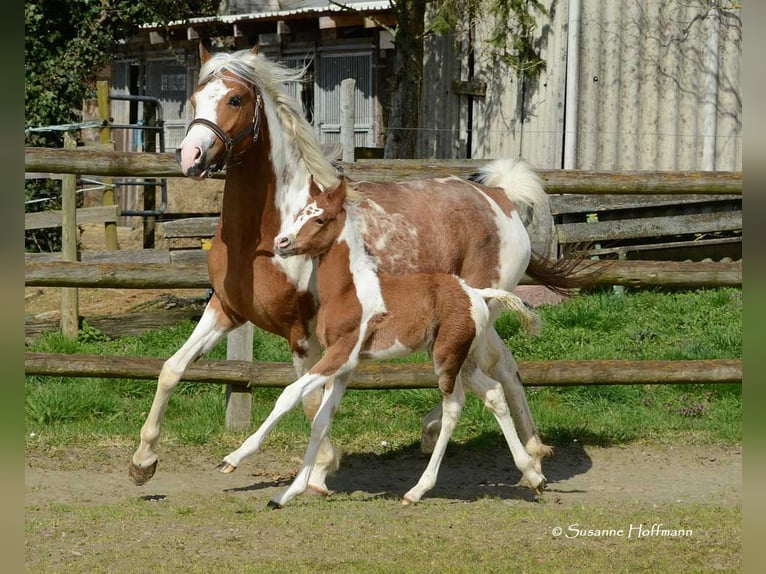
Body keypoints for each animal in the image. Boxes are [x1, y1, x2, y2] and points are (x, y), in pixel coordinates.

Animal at [219, 180, 548, 508]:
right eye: (300, 213)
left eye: (320, 219)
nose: (282, 242)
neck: (347, 289)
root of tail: (477, 293)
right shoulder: (346, 367)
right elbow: (321, 420)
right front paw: (289, 492)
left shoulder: (341, 353)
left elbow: (289, 394)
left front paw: (234, 458)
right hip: (455, 357)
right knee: (492, 391)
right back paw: (533, 476)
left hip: (446, 357)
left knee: (454, 406)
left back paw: (418, 489)